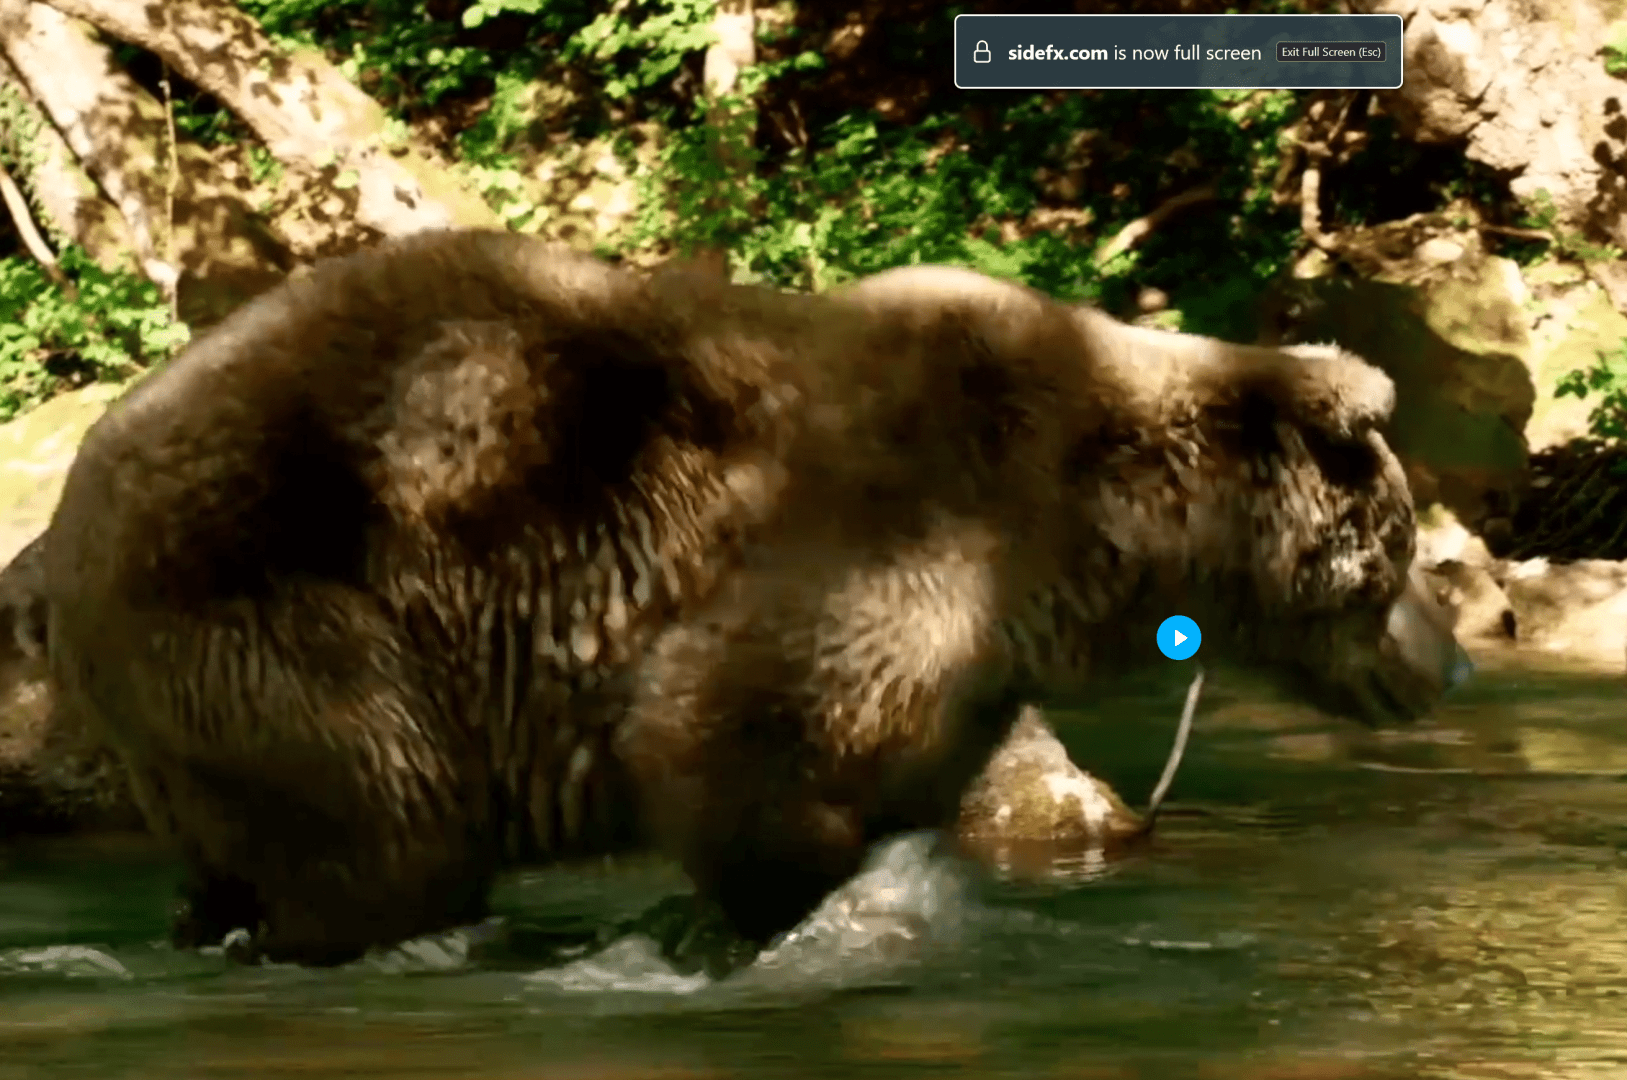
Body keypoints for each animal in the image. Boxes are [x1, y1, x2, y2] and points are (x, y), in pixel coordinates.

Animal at [41, 229, 1444, 965]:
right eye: (1402, 547)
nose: (1449, 664)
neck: (1088, 529)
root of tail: (70, 515)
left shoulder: (979, 653)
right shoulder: (889, 526)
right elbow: (731, 720)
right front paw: (768, 915)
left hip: (187, 698)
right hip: (285, 600)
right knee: (390, 815)